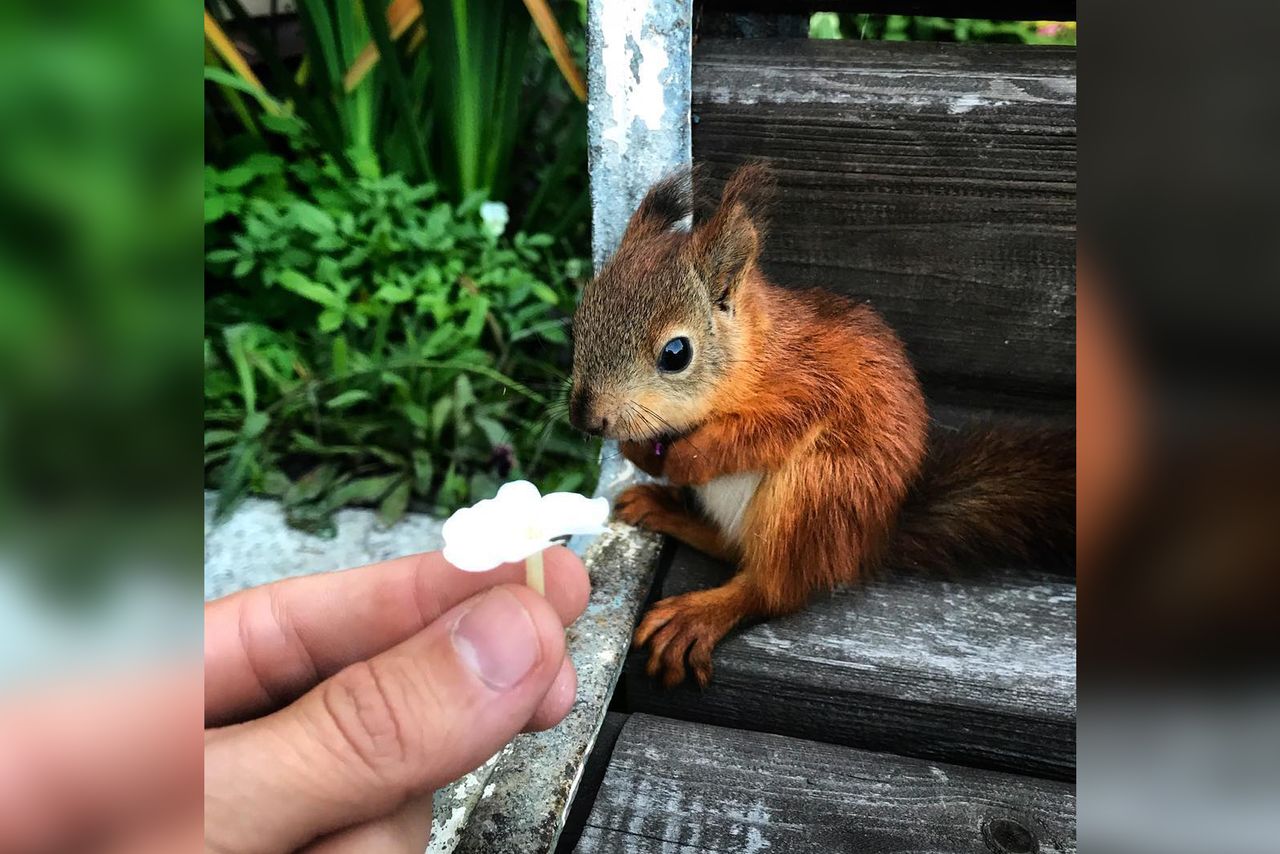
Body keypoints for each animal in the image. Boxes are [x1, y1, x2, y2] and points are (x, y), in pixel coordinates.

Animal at [568, 165, 1070, 686]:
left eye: (676, 353)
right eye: (577, 323)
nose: (586, 417)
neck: (757, 357)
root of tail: (867, 542)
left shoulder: (811, 390)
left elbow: (757, 435)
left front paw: (687, 457)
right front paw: (639, 452)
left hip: (816, 493)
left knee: (774, 589)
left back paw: (703, 612)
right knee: (731, 548)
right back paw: (668, 511)